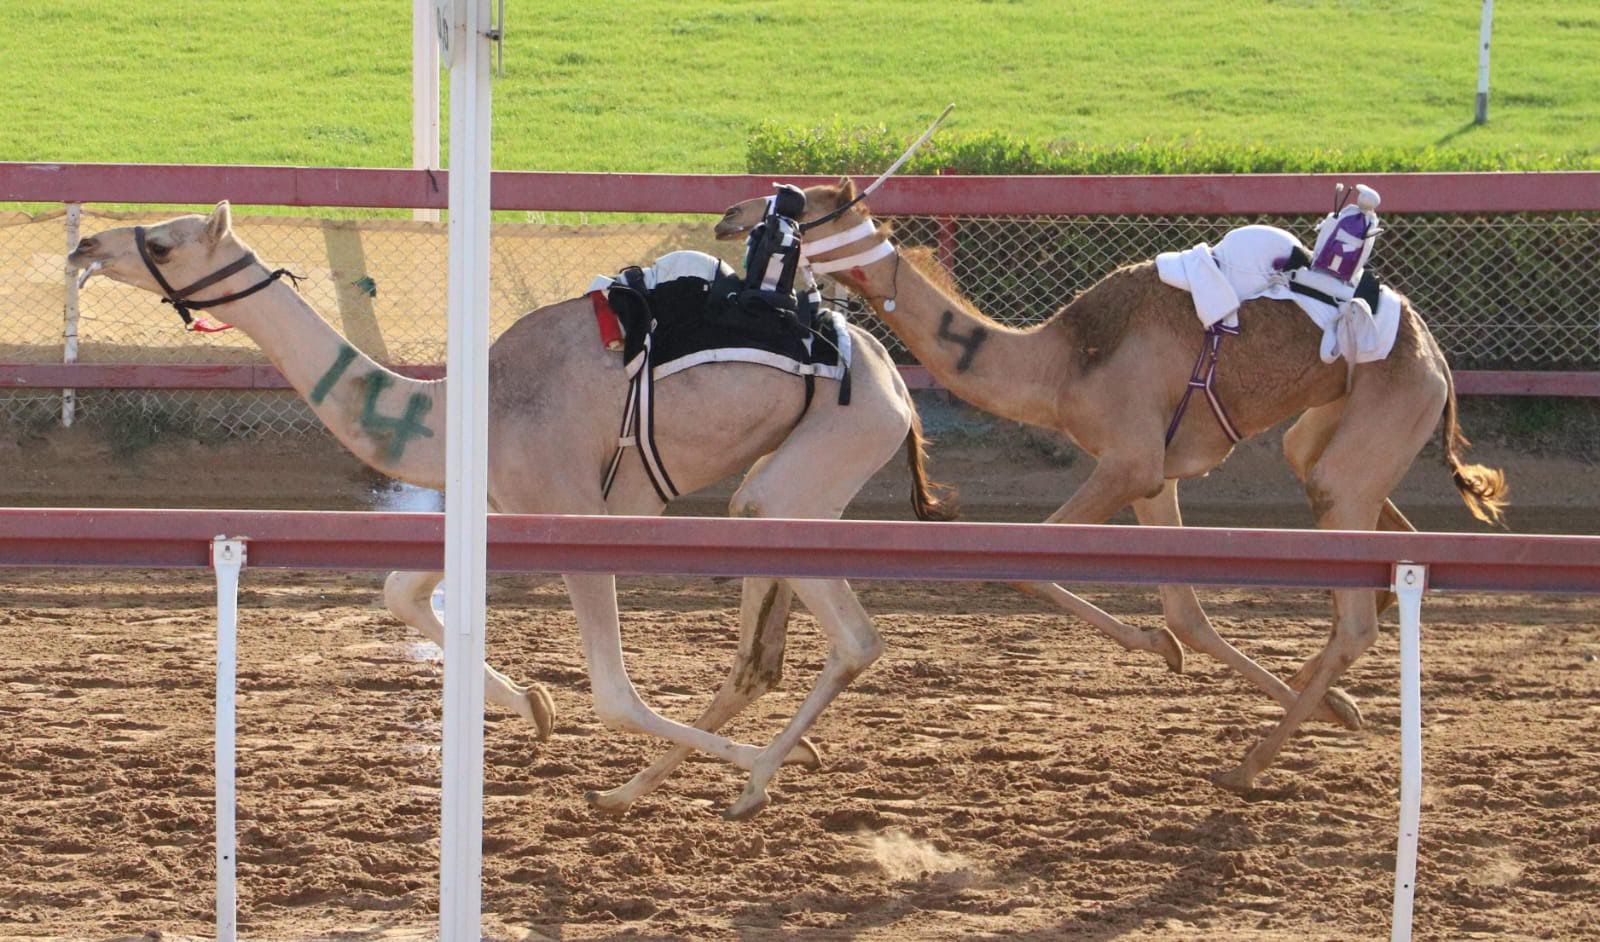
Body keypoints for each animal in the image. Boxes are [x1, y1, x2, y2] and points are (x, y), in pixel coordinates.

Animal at [65, 203, 960, 815]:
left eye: (164, 241)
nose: (86, 244)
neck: (460, 410)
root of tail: (887, 369)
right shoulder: (494, 506)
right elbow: (399, 592)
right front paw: (533, 706)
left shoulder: (571, 516)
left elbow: (613, 695)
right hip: (783, 488)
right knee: (758, 655)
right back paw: (651, 787)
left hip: (825, 455)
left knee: (853, 637)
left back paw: (762, 774)